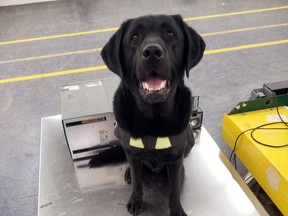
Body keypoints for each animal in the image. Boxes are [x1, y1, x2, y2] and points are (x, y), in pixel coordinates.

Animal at [100, 14, 206, 215]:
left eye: (170, 34)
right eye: (135, 37)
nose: (151, 52)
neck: (153, 118)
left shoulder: (175, 158)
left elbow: (174, 189)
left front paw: (176, 209)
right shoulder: (133, 153)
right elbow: (137, 182)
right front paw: (135, 200)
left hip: (189, 142)